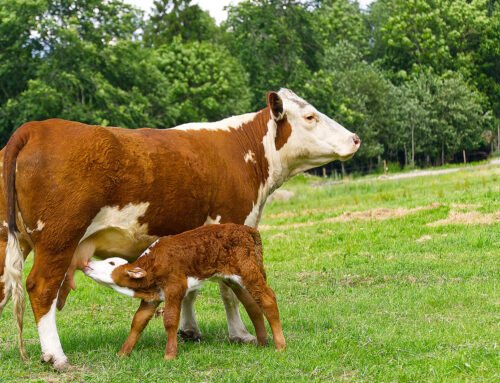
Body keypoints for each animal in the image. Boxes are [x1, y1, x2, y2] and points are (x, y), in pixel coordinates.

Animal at [82, 224, 286, 362]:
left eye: (111, 263)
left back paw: (280, 346)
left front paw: (170, 355)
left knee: (268, 299)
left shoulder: (175, 287)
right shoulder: (152, 297)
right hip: (235, 279)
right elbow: (138, 321)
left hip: (248, 271)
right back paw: (262, 343)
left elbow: (170, 319)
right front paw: (123, 353)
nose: (88, 262)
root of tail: (244, 228)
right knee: (253, 304)